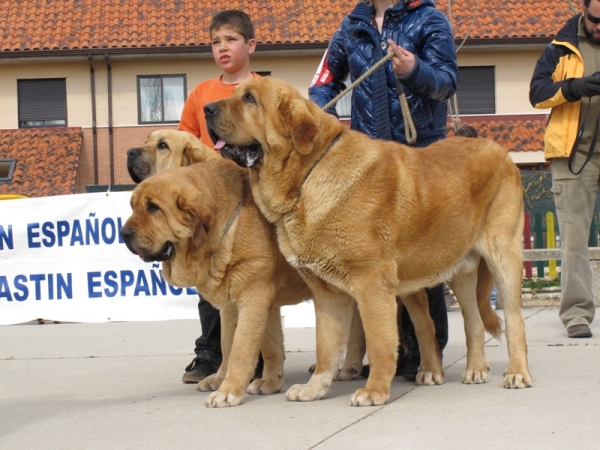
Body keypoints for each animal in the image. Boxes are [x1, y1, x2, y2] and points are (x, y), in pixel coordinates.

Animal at [205, 75, 528, 406]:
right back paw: (473, 369)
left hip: (503, 258)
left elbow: (379, 341)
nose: (207, 109)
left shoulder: (372, 282)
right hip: (458, 271)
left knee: (514, 320)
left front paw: (374, 391)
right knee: (469, 319)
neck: (308, 174)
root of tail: (499, 151)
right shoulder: (327, 293)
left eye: (250, 99)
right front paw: (314, 388)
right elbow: (326, 347)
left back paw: (517, 373)